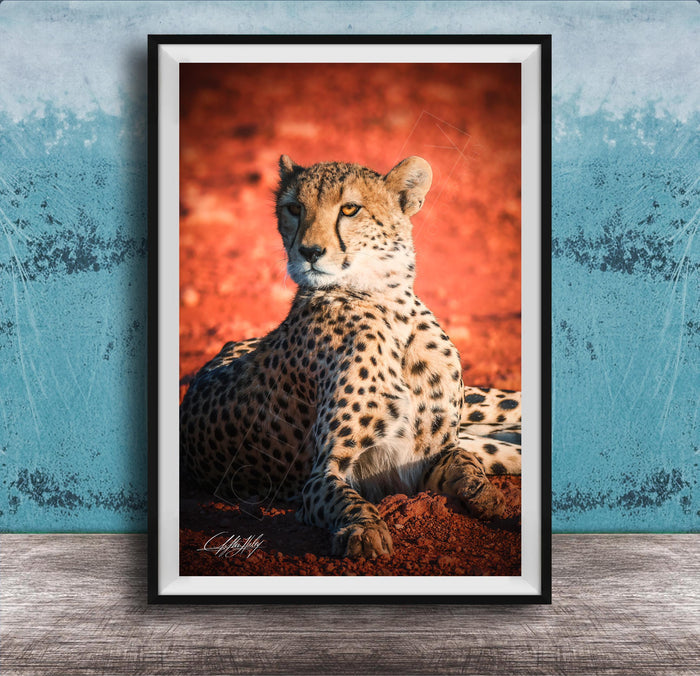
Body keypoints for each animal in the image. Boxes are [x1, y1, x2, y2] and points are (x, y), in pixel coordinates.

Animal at [180, 154, 522, 559]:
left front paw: (485, 494)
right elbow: (348, 500)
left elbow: (463, 462)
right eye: (294, 208)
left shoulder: (433, 454)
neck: (385, 303)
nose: (309, 252)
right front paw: (364, 531)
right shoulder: (328, 475)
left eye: (349, 209)